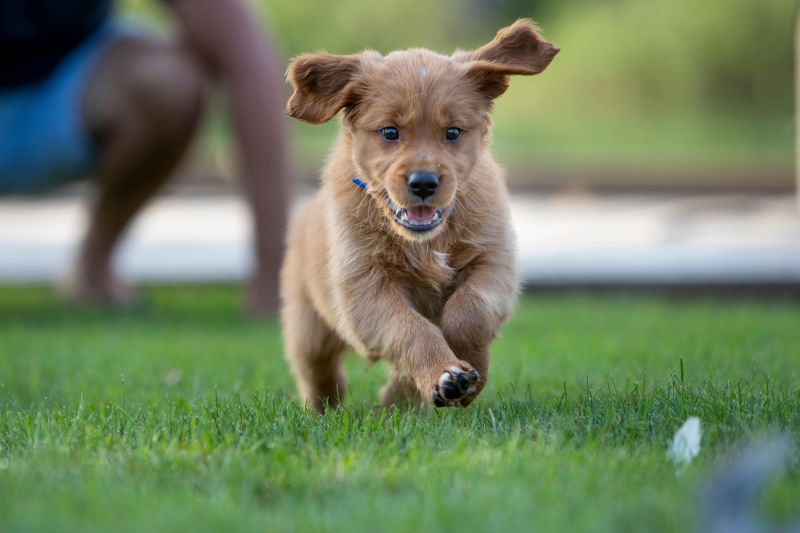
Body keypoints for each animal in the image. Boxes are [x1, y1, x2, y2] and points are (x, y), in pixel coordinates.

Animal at [280, 18, 556, 412]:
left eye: (453, 132)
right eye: (390, 132)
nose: (423, 183)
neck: (427, 241)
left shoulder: (493, 262)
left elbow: (468, 313)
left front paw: (464, 374)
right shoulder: (364, 287)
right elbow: (411, 330)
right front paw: (445, 374)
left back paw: (400, 399)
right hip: (308, 326)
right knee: (318, 372)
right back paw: (323, 411)